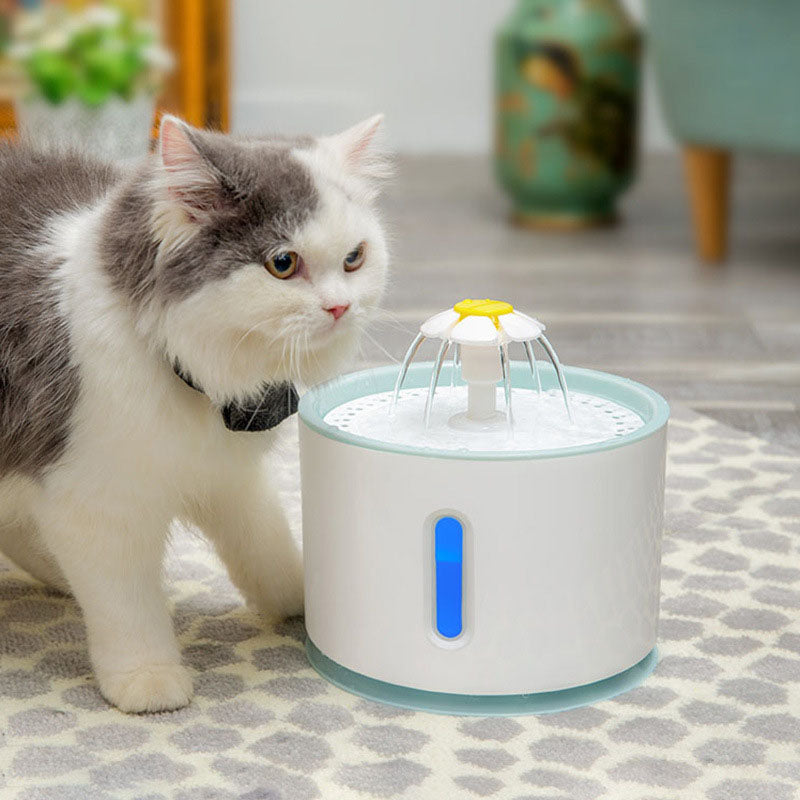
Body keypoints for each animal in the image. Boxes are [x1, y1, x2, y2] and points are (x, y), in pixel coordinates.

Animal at [0, 114, 390, 712]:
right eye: (282, 264)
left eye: (354, 259)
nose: (339, 307)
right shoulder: (93, 501)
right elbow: (126, 604)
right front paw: (147, 679)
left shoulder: (230, 476)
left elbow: (267, 548)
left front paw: (308, 601)